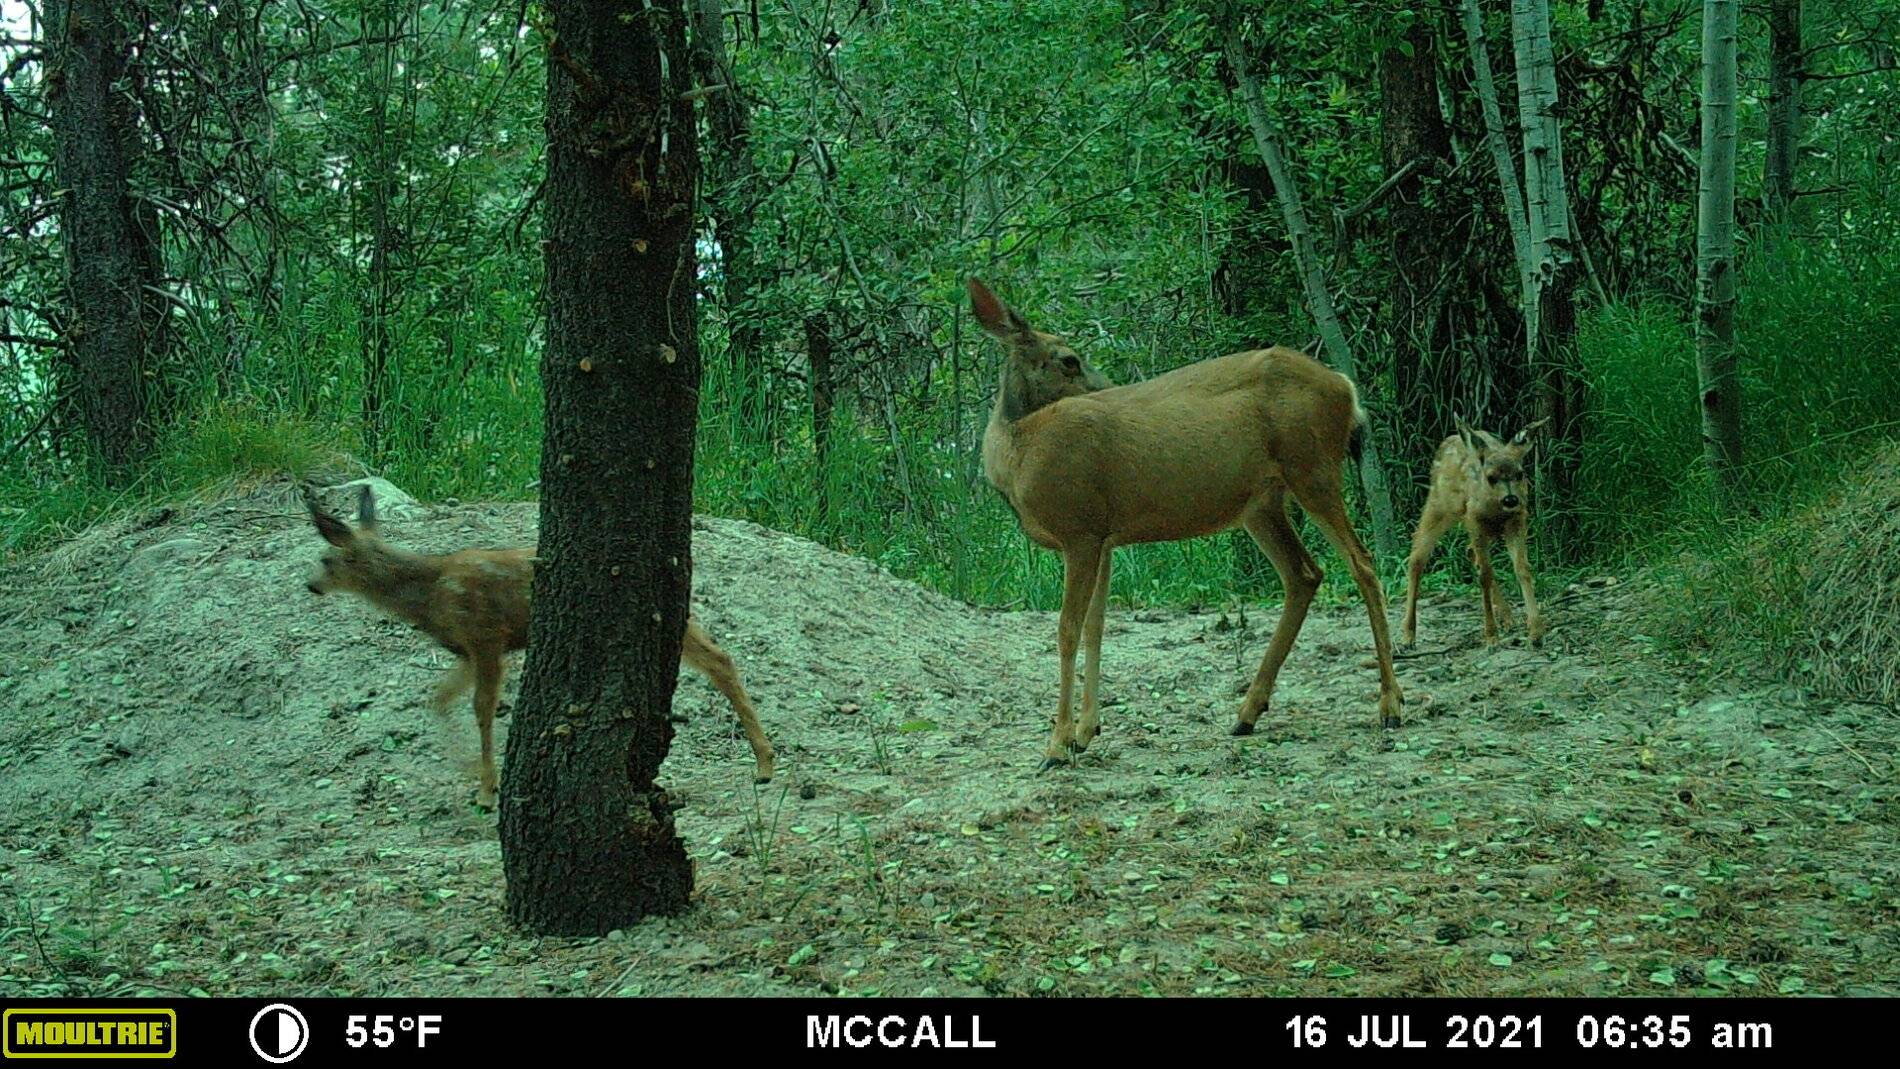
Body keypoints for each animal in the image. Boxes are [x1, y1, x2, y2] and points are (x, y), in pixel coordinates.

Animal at [302, 485, 775, 808]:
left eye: (325, 559)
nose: (311, 585)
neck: (430, 590)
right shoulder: (467, 651)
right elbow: (439, 698)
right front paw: (469, 770)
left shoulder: (486, 637)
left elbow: (482, 708)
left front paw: (487, 789)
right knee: (720, 659)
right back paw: (764, 762)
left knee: (719, 659)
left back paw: (766, 765)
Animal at [969, 278, 1404, 769]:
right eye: (1069, 359)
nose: (1109, 387)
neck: (1018, 454)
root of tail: (1346, 387)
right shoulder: (1104, 536)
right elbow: (1096, 625)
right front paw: (1086, 732)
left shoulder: (1080, 530)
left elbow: (1067, 630)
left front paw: (1057, 745)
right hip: (1262, 503)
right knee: (1305, 573)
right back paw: (1247, 713)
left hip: (1312, 468)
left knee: (1363, 564)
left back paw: (1390, 706)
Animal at [1400, 418, 1551, 649]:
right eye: (1491, 477)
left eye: (1520, 474)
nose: (1511, 499)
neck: (1494, 509)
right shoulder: (1474, 520)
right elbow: (1484, 576)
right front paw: (1491, 635)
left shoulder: (1517, 519)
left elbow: (1522, 569)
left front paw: (1536, 632)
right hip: (1438, 505)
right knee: (1417, 557)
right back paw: (1408, 635)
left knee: (1469, 552)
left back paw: (1507, 617)